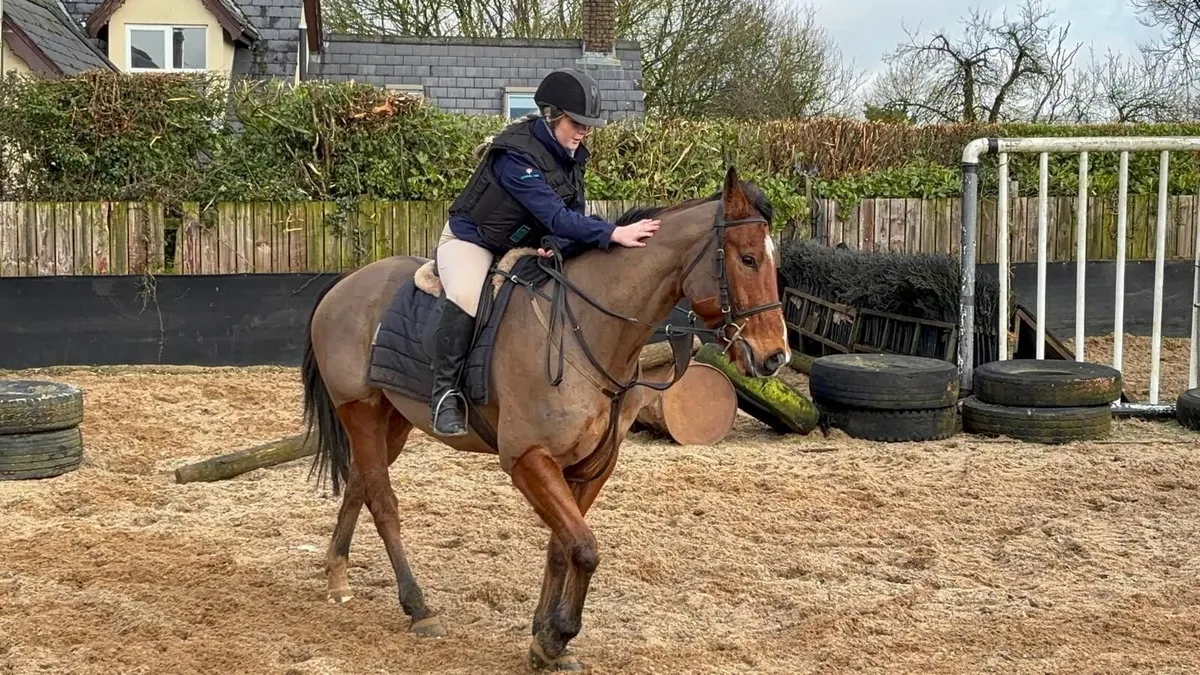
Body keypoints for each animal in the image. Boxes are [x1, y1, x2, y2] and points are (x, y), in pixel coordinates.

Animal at [299, 165, 792, 671]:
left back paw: (337, 577)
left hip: (392, 420)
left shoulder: (591, 466)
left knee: (359, 484)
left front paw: (543, 638)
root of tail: (342, 286)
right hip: (360, 412)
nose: (776, 357)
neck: (583, 331)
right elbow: (585, 548)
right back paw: (418, 608)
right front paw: (558, 636)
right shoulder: (528, 459)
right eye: (748, 259)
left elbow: (563, 546)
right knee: (382, 501)